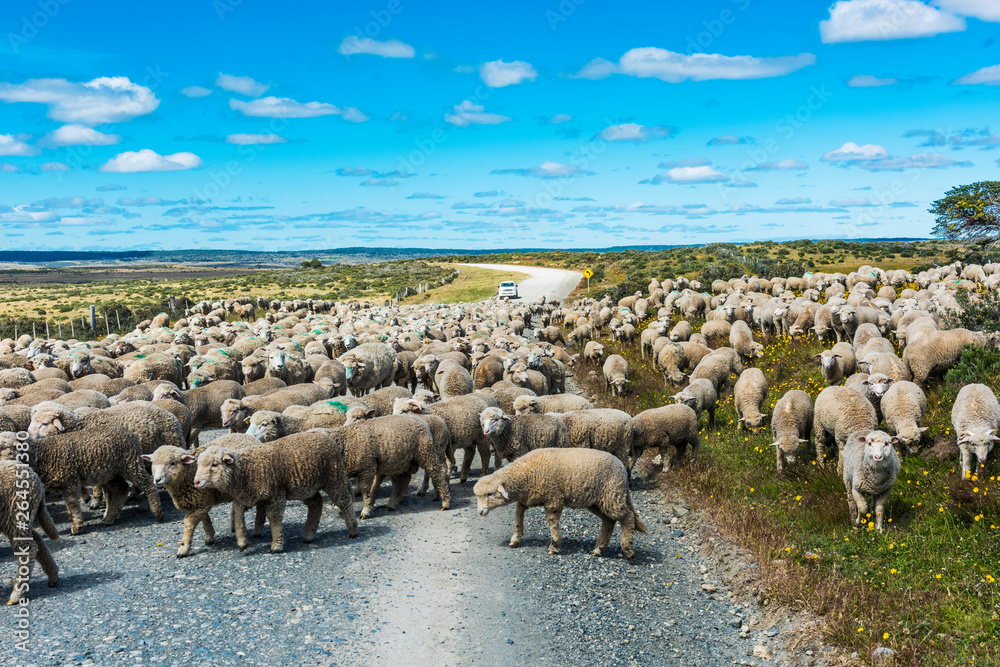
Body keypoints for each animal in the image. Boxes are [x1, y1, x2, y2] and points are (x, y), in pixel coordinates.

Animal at [0, 424, 163, 534]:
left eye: (3, 448)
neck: (43, 455)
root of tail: (128, 432)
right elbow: (69, 504)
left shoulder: (70, 479)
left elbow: (72, 503)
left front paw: (76, 527)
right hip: (109, 473)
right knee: (121, 490)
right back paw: (109, 518)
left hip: (131, 464)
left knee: (148, 483)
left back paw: (157, 512)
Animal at [193, 432, 358, 553]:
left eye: (214, 464)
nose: (196, 482)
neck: (245, 470)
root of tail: (325, 436)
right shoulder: (241, 498)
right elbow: (239, 518)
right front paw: (242, 542)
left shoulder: (275, 495)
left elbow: (274, 518)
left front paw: (277, 545)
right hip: (306, 487)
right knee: (316, 504)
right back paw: (309, 535)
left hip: (333, 477)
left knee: (344, 501)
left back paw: (353, 529)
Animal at [473, 448, 647, 559]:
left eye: (489, 494)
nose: (480, 512)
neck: (525, 474)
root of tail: (622, 468)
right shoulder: (526, 499)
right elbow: (518, 517)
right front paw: (515, 538)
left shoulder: (553, 499)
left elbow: (552, 522)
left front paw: (554, 546)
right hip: (598, 501)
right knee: (609, 521)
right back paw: (598, 549)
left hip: (612, 495)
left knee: (627, 518)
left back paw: (628, 549)